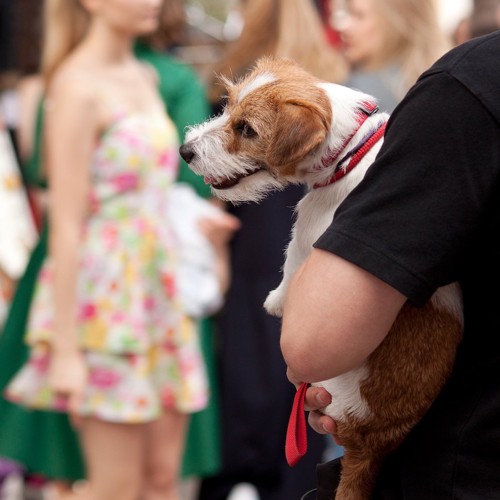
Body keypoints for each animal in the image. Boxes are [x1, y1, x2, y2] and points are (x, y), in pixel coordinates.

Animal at [179, 56, 460, 500]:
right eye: (227, 108)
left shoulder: (307, 230)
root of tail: (369, 444)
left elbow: (291, 264)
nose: (185, 151)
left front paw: (276, 301)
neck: (351, 148)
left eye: (247, 129)